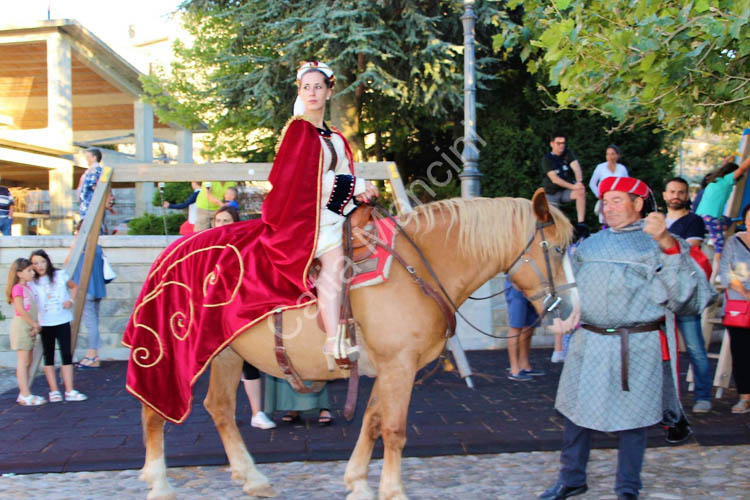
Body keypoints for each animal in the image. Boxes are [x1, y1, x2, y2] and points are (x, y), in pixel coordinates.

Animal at [140, 188, 576, 500]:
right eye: (556, 250)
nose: (571, 312)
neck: (418, 269)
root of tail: (172, 251)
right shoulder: (399, 365)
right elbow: (395, 429)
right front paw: (393, 491)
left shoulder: (392, 367)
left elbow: (372, 421)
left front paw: (358, 482)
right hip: (171, 353)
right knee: (156, 409)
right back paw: (159, 483)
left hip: (227, 353)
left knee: (220, 408)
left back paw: (252, 478)